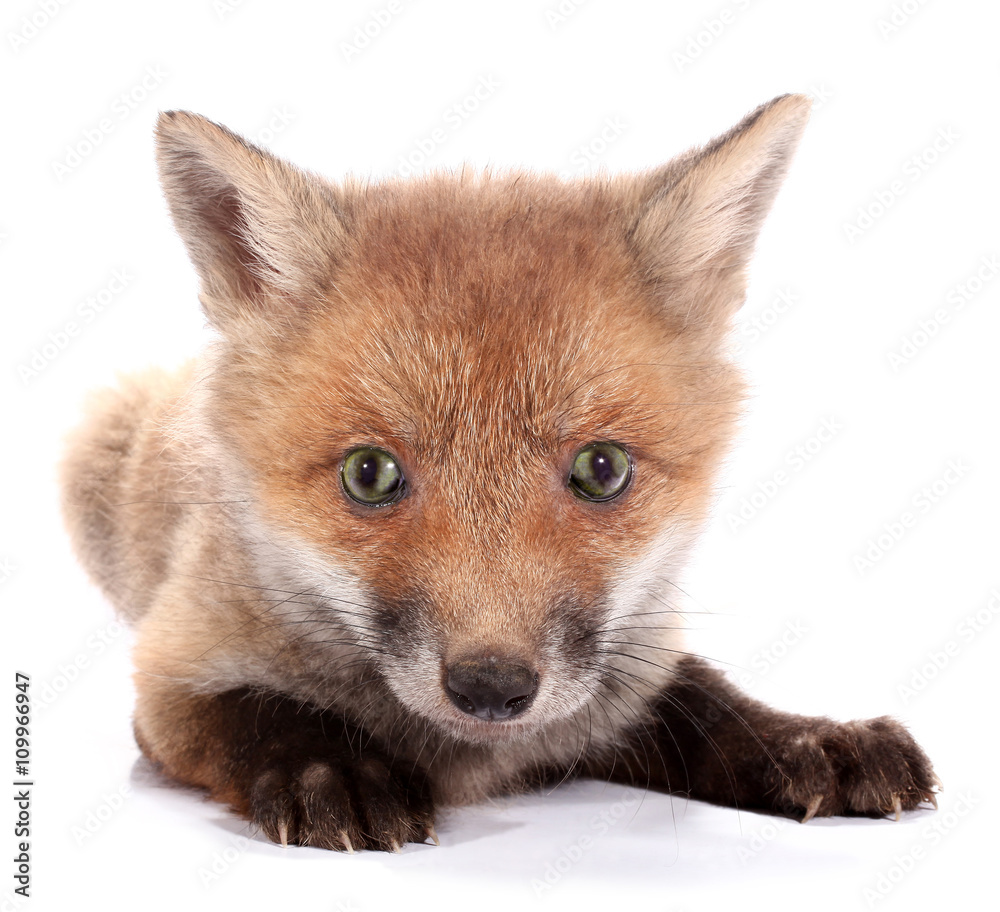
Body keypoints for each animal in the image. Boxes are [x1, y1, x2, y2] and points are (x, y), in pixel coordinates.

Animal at [60, 94, 938, 853]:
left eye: (602, 469)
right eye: (370, 475)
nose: (491, 688)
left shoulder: (627, 671)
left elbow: (703, 700)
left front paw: (809, 738)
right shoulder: (169, 674)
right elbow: (256, 716)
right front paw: (333, 770)